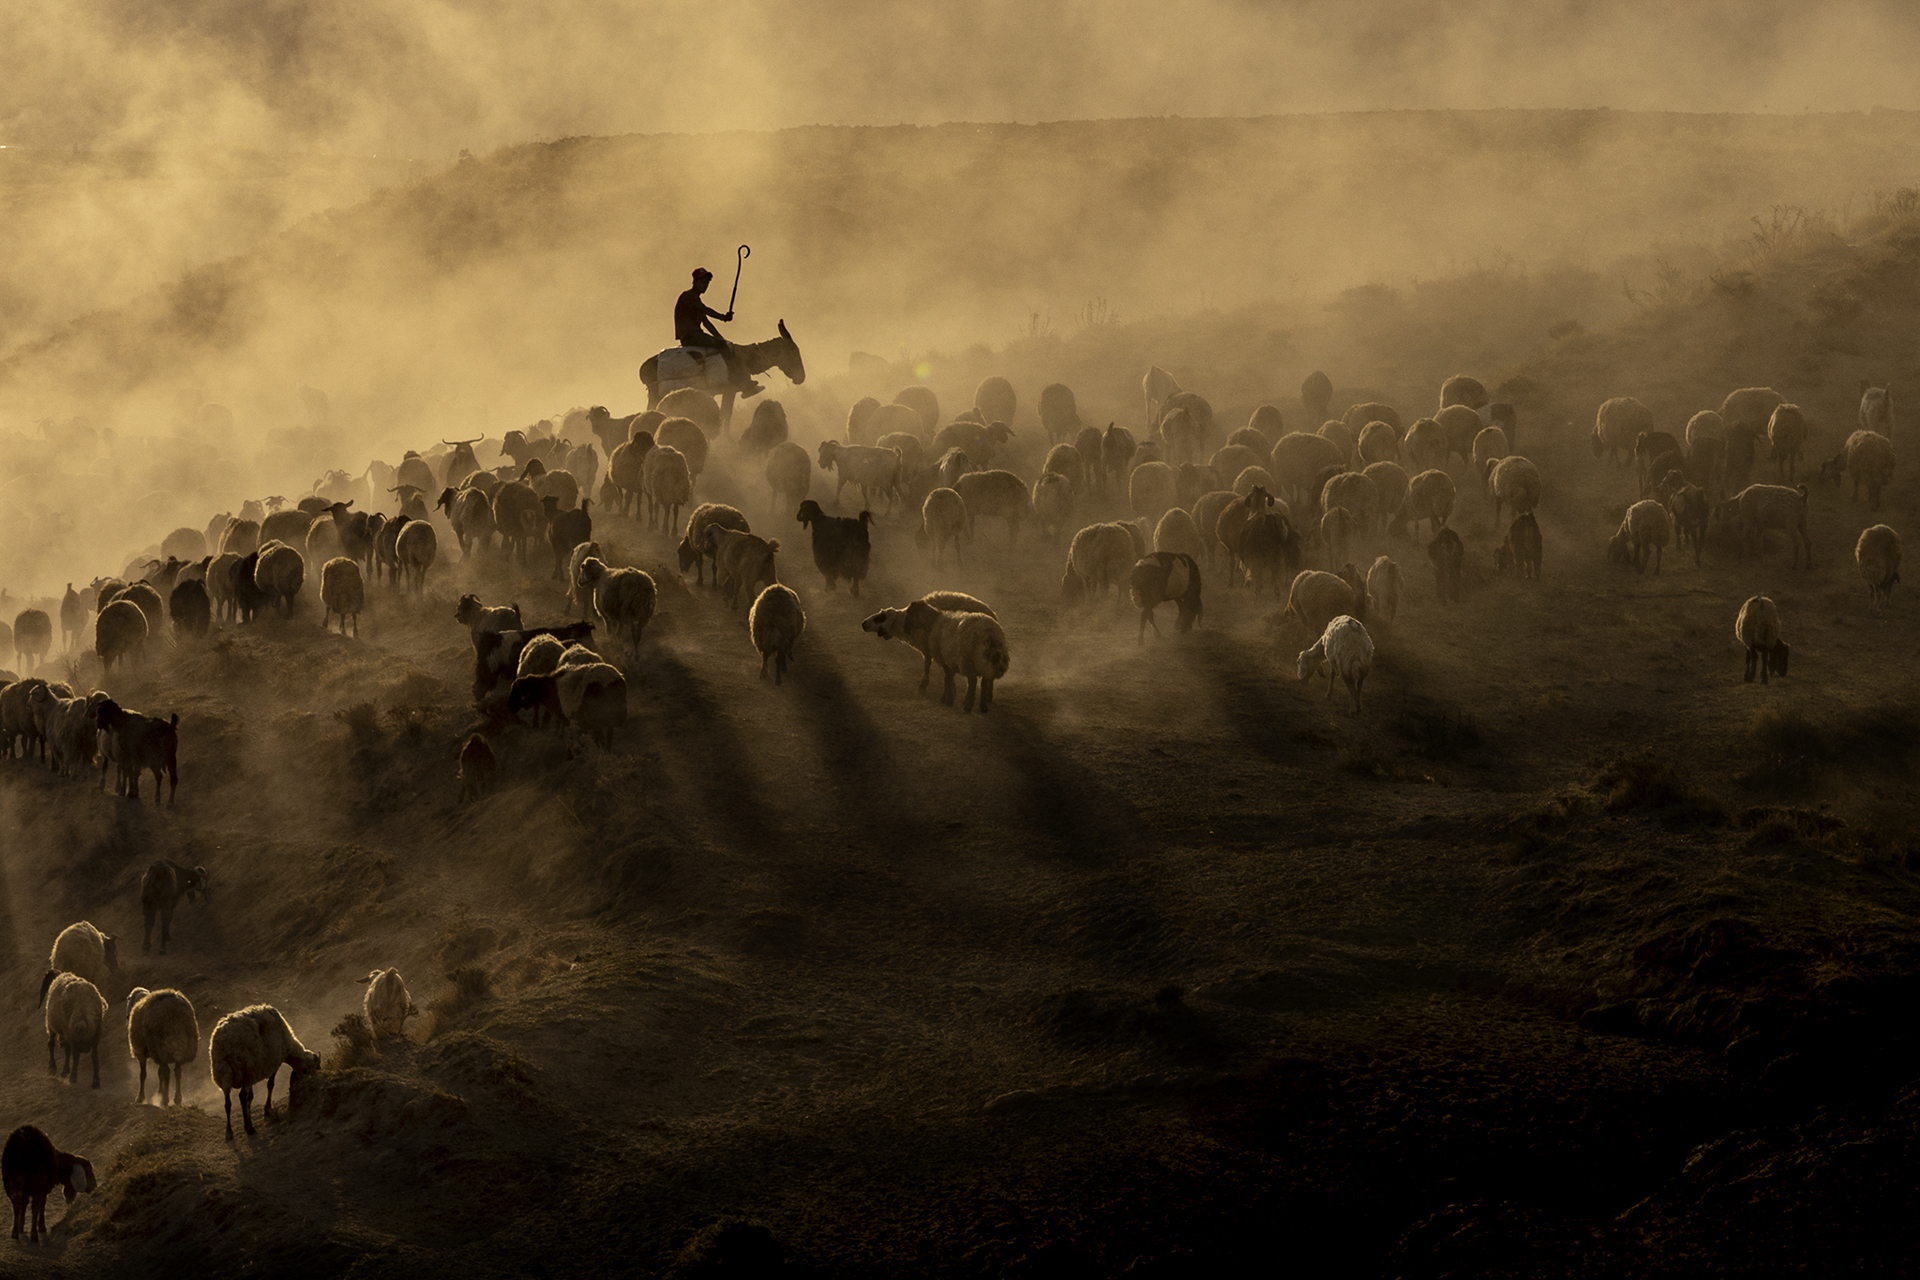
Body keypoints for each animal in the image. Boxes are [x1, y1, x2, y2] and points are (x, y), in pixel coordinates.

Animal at [208, 1004, 321, 1138]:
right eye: (311, 1071)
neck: (291, 1050)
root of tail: (224, 1044)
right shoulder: (274, 1062)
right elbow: (270, 1085)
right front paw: (267, 1110)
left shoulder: (255, 1071)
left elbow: (251, 1097)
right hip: (247, 1069)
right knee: (241, 1096)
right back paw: (249, 1127)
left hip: (224, 1074)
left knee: (227, 1103)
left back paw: (229, 1132)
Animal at [639, 320, 805, 435]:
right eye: (793, 351)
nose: (801, 377)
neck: (745, 358)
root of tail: (643, 368)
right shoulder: (730, 390)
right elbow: (726, 414)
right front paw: (725, 439)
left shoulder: (729, 392)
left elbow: (726, 413)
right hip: (655, 396)